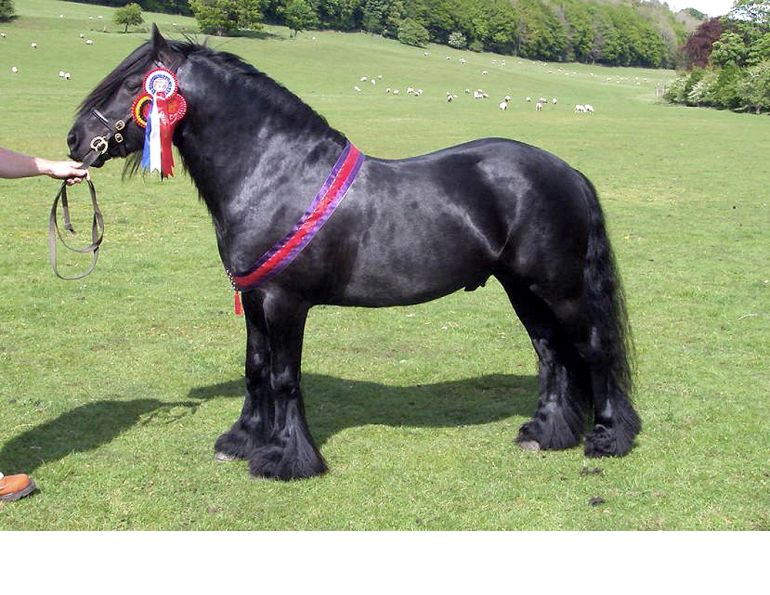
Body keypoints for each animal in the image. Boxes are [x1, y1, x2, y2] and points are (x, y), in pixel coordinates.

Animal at [66, 26, 640, 480]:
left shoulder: (284, 302)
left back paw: (608, 438)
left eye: (129, 86)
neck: (276, 173)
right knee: (552, 354)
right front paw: (243, 441)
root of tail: (567, 172)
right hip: (523, 289)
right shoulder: (253, 298)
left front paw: (287, 460)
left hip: (560, 289)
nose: (75, 141)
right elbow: (255, 368)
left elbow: (283, 378)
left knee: (592, 349)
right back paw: (544, 434)